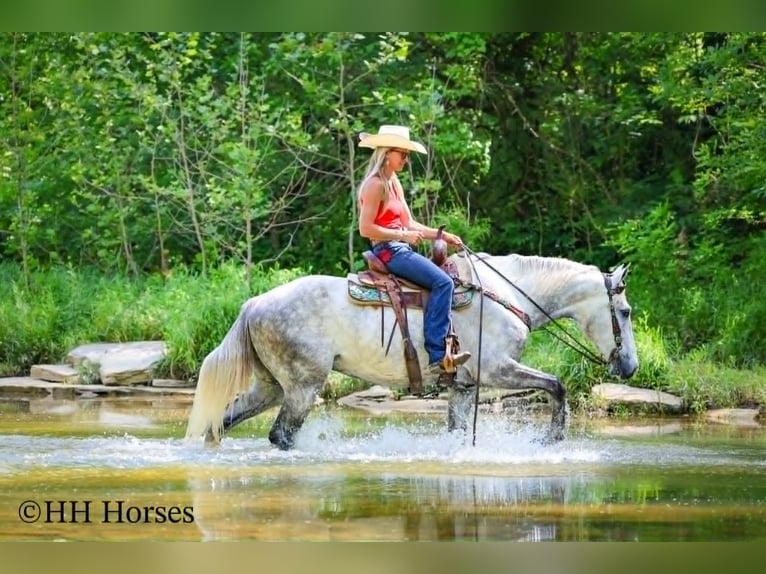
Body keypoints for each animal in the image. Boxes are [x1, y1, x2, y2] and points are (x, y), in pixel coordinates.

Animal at [184, 252, 638, 449]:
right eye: (626, 312)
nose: (631, 366)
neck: (509, 293)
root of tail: (254, 304)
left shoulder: (464, 386)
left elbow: (457, 431)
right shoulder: (497, 369)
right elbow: (557, 385)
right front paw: (551, 438)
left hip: (271, 386)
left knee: (220, 423)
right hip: (302, 387)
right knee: (281, 434)